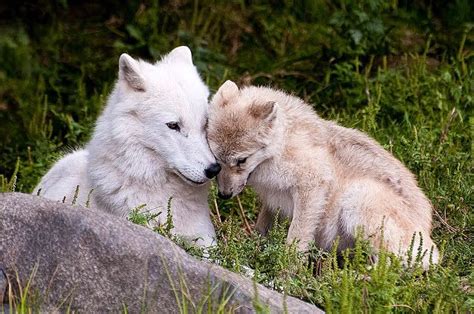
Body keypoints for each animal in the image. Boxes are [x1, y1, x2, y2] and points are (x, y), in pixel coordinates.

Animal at [207, 81, 440, 268]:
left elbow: (296, 238)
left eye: (241, 161)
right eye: (217, 159)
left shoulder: (311, 186)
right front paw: (253, 248)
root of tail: (427, 232)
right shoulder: (274, 202)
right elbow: (262, 227)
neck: (282, 146)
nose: (224, 195)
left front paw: (286, 271)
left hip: (356, 199)